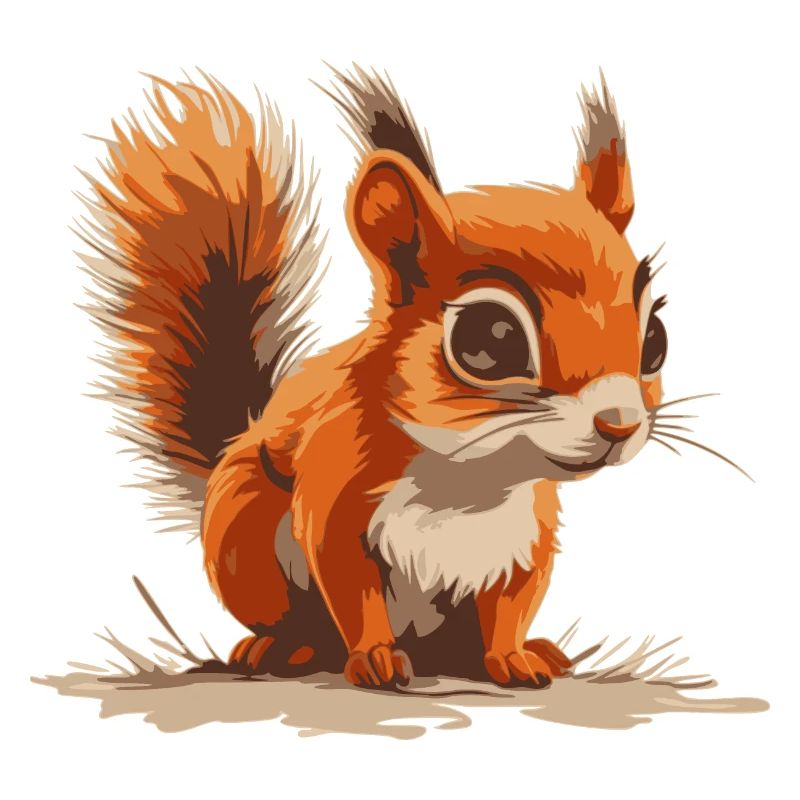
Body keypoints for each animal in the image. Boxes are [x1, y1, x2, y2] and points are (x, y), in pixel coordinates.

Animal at [77, 66, 668, 689]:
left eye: (655, 338)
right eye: (491, 340)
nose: (619, 424)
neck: (471, 477)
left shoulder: (528, 535)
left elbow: (513, 602)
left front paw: (512, 655)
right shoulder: (334, 502)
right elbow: (353, 591)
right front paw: (377, 657)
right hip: (244, 530)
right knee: (295, 620)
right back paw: (285, 648)